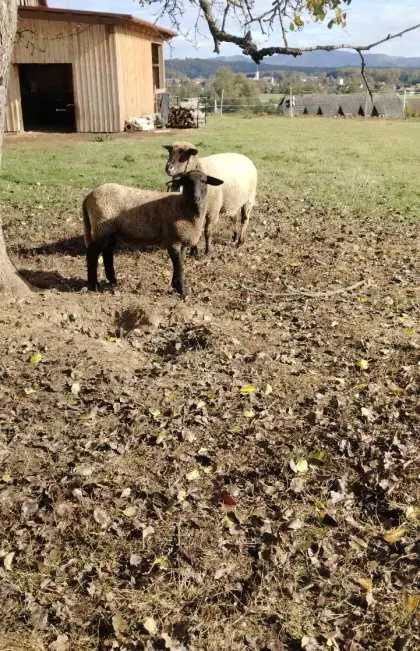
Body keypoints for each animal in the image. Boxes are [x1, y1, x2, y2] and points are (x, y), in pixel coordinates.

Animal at [82, 170, 223, 297]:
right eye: (186, 182)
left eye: (204, 181)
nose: (196, 198)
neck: (184, 207)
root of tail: (89, 195)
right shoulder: (173, 240)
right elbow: (179, 266)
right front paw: (182, 291)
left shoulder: (181, 240)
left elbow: (179, 264)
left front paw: (175, 286)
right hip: (102, 226)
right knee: (92, 252)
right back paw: (93, 285)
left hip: (111, 231)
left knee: (107, 253)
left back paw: (112, 280)